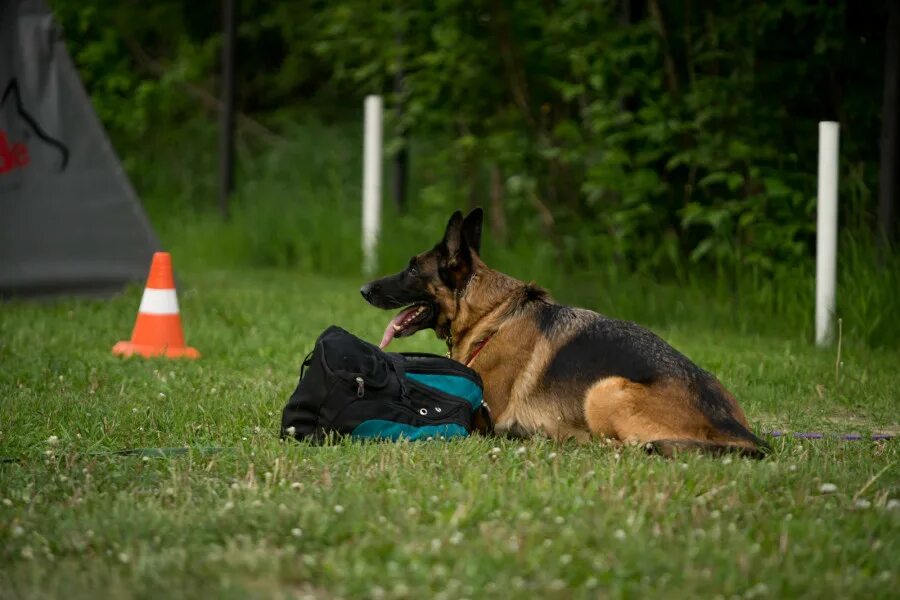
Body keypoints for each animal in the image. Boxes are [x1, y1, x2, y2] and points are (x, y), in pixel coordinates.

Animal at [362, 209, 768, 458]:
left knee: (625, 447)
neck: (493, 317)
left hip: (604, 390)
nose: (364, 289)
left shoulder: (483, 416)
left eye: (413, 270)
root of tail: (736, 429)